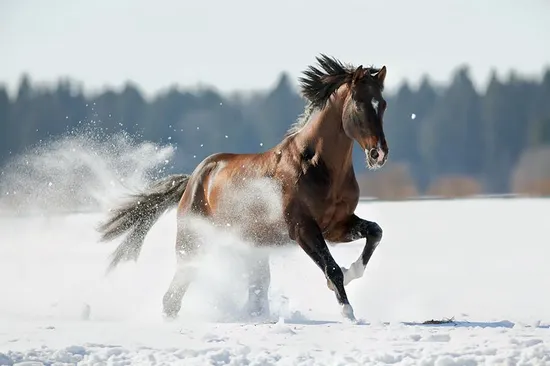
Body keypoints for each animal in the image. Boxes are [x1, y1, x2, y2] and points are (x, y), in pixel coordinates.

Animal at [97, 54, 390, 324]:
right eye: (359, 103)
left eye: (383, 104)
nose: (379, 154)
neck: (315, 165)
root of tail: (193, 180)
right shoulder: (303, 229)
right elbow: (332, 268)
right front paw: (348, 313)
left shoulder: (336, 226)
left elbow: (375, 232)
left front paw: (352, 273)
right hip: (193, 243)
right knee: (174, 294)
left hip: (251, 248)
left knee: (253, 290)